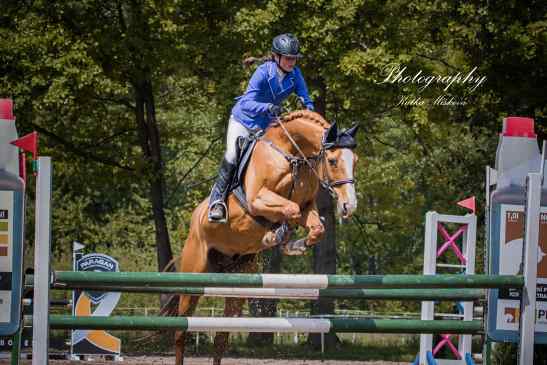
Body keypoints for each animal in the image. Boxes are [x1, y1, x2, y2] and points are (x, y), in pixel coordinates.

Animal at [176, 109, 362, 362]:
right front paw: (274, 237)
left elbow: (315, 226)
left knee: (222, 337)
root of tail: (195, 220)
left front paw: (293, 244)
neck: (291, 156)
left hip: (236, 282)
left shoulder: (306, 207)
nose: (349, 206)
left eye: (356, 161)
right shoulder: (258, 199)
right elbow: (289, 210)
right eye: (332, 161)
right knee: (180, 331)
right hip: (193, 274)